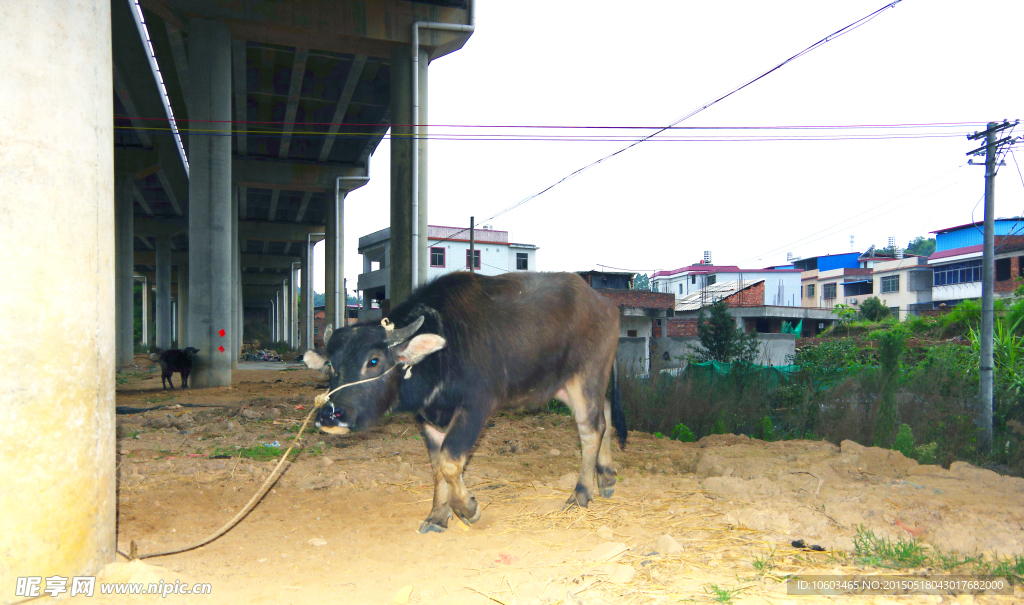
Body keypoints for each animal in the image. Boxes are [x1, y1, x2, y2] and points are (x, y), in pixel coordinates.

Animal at [303, 272, 622, 532]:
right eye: (331, 365)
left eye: (373, 360)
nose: (330, 415)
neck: (441, 355)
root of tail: (605, 305)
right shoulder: (427, 419)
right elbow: (436, 468)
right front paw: (437, 515)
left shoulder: (475, 410)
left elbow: (449, 461)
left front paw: (468, 508)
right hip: (571, 384)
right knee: (605, 414)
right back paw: (606, 477)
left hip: (586, 376)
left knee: (590, 430)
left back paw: (581, 494)